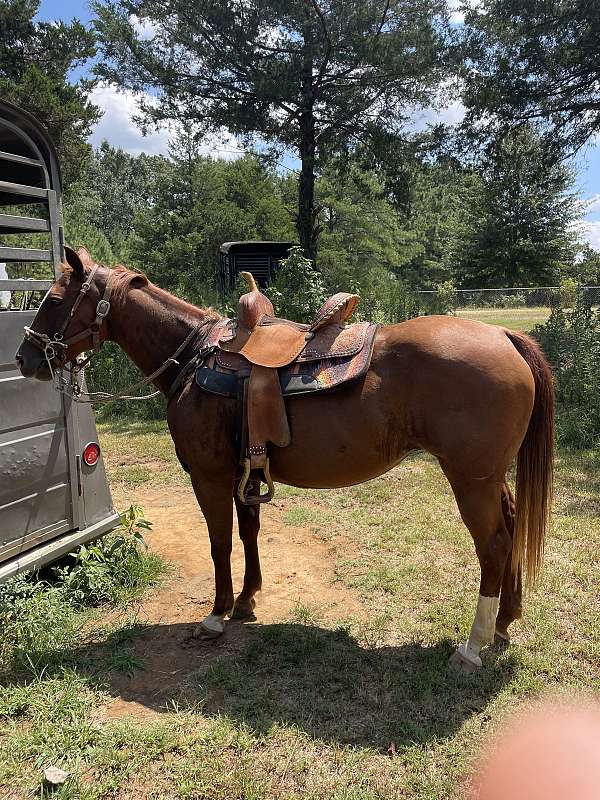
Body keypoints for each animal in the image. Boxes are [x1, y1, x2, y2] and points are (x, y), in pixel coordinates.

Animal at [16, 246, 554, 672]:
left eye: (55, 300)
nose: (25, 358)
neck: (193, 359)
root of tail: (504, 336)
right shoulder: (244, 471)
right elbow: (249, 532)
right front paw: (247, 601)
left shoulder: (209, 477)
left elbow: (220, 543)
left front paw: (215, 615)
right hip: (490, 478)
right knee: (511, 528)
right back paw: (505, 622)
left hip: (471, 479)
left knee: (494, 545)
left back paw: (472, 646)